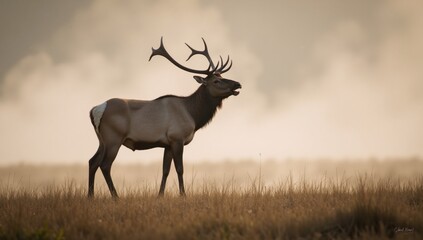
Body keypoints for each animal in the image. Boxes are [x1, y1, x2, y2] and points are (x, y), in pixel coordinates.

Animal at [87, 37, 242, 198]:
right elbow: (180, 168)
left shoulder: (167, 144)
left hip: (102, 140)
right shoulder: (177, 138)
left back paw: (90, 195)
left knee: (92, 161)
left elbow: (165, 170)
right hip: (114, 138)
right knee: (105, 165)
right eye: (216, 81)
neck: (193, 115)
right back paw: (115, 196)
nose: (237, 84)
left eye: (222, 77)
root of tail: (96, 110)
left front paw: (160, 195)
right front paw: (183, 194)